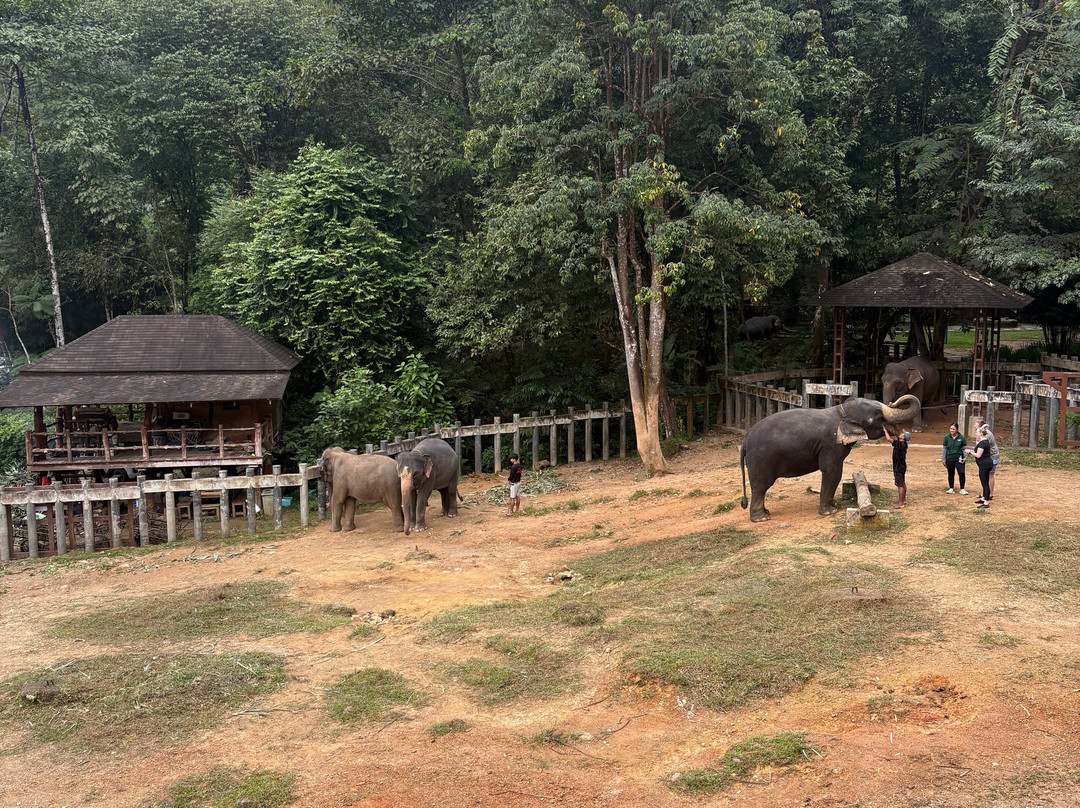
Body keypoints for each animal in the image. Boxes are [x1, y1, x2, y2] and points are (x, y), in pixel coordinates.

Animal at [739, 395, 920, 522]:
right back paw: (762, 518)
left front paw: (835, 505)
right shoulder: (830, 445)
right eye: (876, 413)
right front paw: (829, 512)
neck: (840, 411)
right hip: (761, 459)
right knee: (761, 485)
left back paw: (765, 513)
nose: (892, 402)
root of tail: (745, 439)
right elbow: (832, 472)